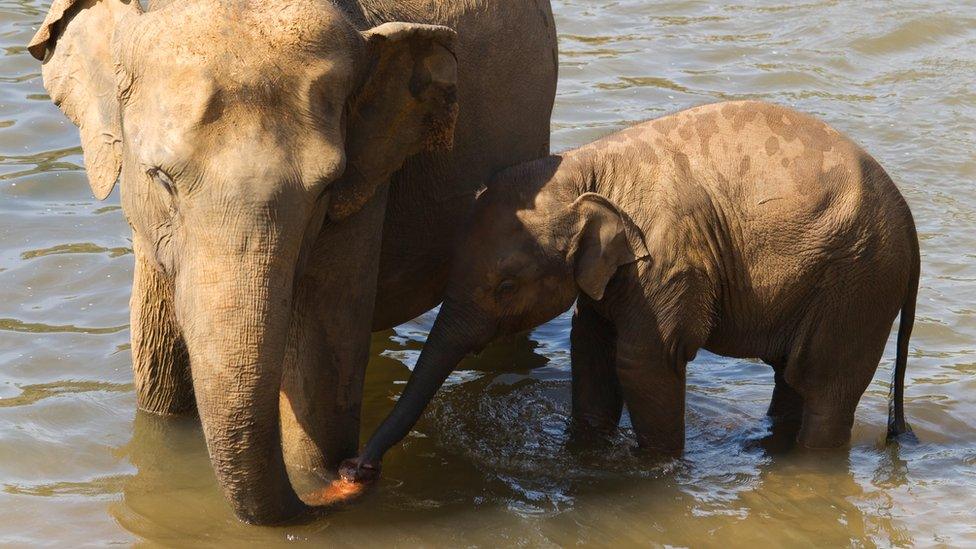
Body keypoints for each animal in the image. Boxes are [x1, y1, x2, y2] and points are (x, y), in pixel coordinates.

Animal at [28, 0, 556, 524]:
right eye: (160, 178)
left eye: (324, 188)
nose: (355, 472)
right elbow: (158, 366)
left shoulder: (365, 185)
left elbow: (320, 361)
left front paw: (313, 473)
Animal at [340, 100, 920, 482]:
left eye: (506, 285)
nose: (355, 468)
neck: (585, 166)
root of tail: (912, 227)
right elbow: (590, 347)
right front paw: (587, 454)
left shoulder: (667, 262)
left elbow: (641, 362)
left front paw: (656, 470)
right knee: (792, 379)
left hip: (859, 281)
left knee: (825, 387)